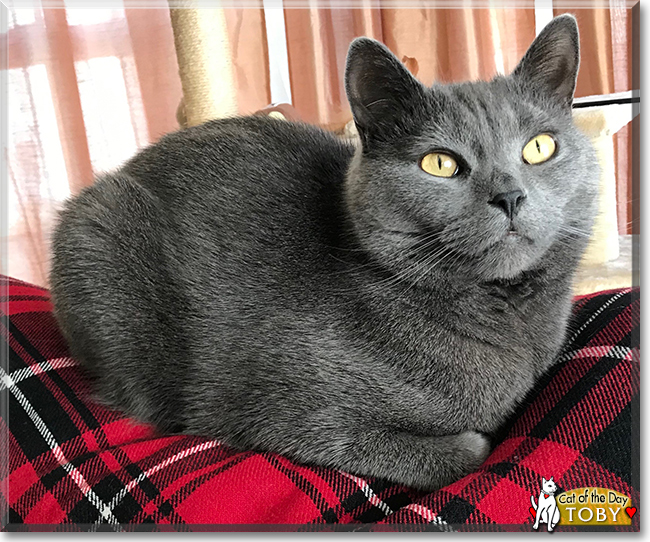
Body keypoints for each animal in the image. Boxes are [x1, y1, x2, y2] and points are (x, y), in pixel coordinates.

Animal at [50, 15, 596, 492]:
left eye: (539, 148)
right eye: (439, 164)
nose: (510, 195)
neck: (510, 327)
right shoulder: (286, 414)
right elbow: (464, 450)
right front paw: (477, 438)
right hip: (101, 229)